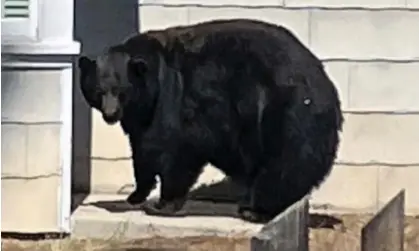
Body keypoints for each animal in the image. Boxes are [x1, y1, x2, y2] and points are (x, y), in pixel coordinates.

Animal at [79, 18, 344, 223]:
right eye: (99, 91)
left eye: (121, 91)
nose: (110, 114)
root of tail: (327, 86)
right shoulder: (141, 116)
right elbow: (142, 149)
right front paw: (135, 195)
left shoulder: (176, 98)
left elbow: (175, 148)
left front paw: (162, 203)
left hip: (284, 112)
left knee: (285, 162)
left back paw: (256, 209)